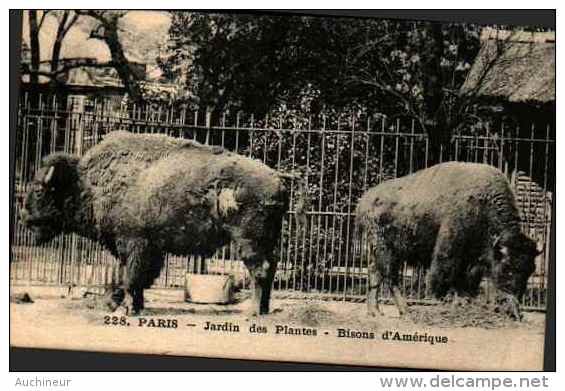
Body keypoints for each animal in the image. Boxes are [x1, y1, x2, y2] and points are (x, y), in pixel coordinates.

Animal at [20, 133, 304, 316]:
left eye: (39, 191)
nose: (24, 218)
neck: (85, 183)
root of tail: (278, 179)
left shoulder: (134, 243)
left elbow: (131, 276)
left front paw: (126, 308)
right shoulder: (146, 248)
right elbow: (136, 276)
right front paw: (126, 304)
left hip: (248, 240)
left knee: (261, 270)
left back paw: (253, 311)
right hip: (267, 239)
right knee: (271, 267)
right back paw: (263, 309)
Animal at [354, 162, 540, 318]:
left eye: (530, 270)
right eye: (507, 268)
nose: (515, 311)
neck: (483, 203)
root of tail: (364, 201)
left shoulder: (472, 259)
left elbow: (465, 280)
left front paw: (464, 301)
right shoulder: (450, 247)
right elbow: (444, 272)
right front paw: (443, 299)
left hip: (382, 251)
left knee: (374, 273)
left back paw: (375, 312)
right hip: (387, 250)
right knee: (390, 277)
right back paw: (405, 310)